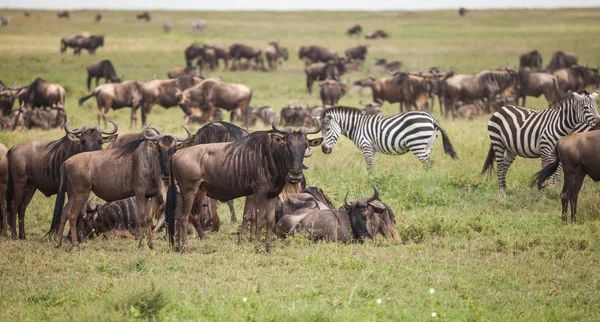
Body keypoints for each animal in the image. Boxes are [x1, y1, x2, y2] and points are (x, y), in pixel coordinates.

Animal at [322, 106, 458, 171]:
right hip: (427, 145)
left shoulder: (366, 147)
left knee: (428, 162)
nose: (323, 149)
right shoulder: (371, 149)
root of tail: (431, 118)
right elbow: (372, 165)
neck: (357, 127)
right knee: (429, 162)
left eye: (327, 130)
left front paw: (370, 181)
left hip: (417, 144)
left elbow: (369, 166)